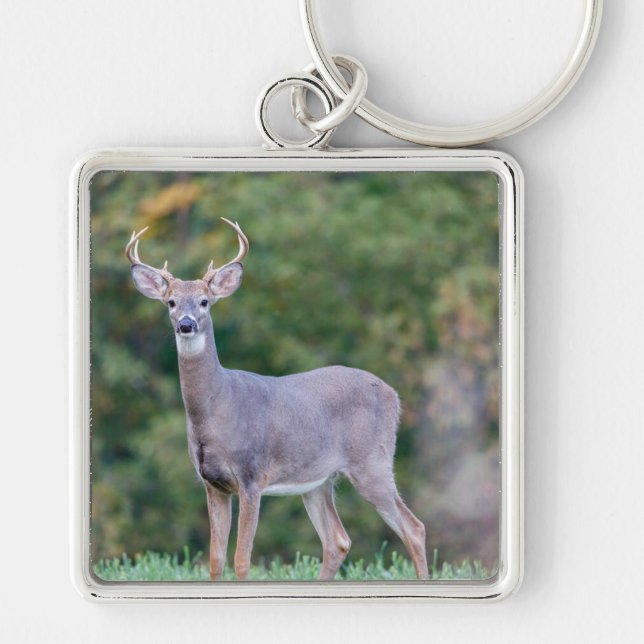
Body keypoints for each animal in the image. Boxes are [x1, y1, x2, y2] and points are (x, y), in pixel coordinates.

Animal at [126, 218, 428, 581]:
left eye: (204, 301)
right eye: (170, 302)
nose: (186, 325)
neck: (216, 409)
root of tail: (394, 395)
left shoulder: (252, 476)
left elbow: (242, 559)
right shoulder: (212, 484)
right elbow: (215, 560)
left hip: (373, 460)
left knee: (414, 528)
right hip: (318, 480)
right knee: (338, 540)